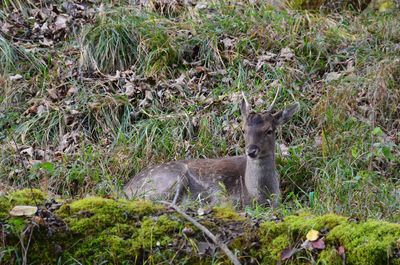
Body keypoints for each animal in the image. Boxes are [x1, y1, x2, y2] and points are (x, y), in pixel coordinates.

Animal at [123, 94, 298, 207]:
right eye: (243, 130)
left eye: (269, 130)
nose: (251, 151)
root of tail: (125, 190)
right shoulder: (224, 196)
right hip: (172, 176)